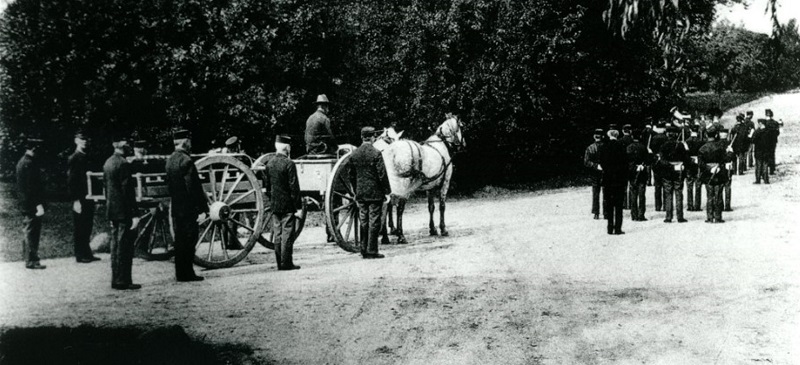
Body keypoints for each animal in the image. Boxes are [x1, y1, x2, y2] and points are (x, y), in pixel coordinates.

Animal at [378, 115, 466, 243]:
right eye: (461, 127)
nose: (464, 144)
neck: (441, 145)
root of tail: (390, 151)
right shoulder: (445, 183)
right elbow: (442, 206)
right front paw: (443, 229)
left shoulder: (430, 187)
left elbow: (431, 207)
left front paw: (433, 229)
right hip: (403, 187)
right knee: (398, 208)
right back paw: (400, 235)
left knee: (385, 206)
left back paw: (385, 237)